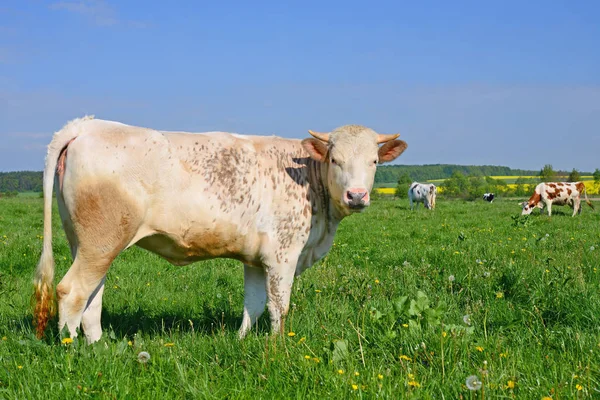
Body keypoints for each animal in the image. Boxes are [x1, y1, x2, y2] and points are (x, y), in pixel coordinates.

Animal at [32, 117, 408, 342]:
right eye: (335, 159)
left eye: (374, 161)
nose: (356, 195)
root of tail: (89, 125)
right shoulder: (283, 254)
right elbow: (279, 305)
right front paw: (278, 347)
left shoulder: (257, 259)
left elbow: (254, 304)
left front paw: (242, 341)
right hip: (101, 242)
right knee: (72, 292)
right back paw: (71, 350)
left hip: (90, 243)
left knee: (92, 298)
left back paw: (100, 350)